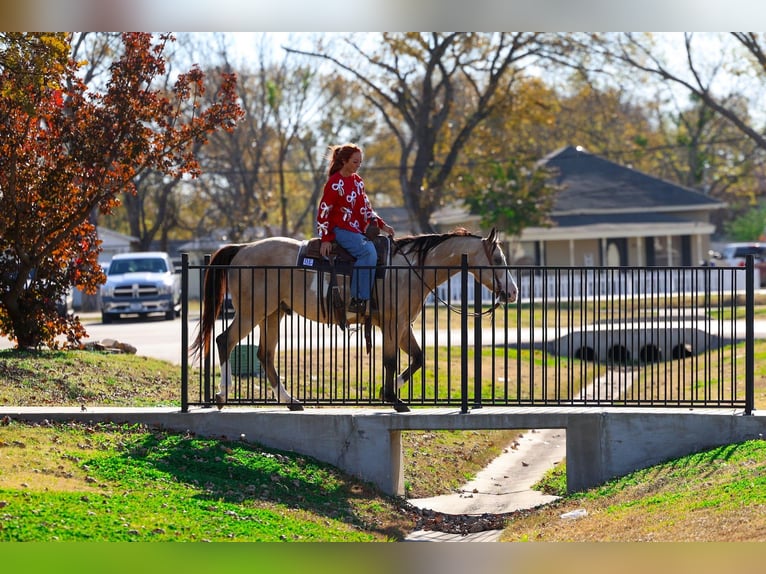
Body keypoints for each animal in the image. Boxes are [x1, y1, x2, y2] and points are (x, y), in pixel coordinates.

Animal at [190, 227, 518, 413]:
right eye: (498, 260)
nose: (513, 292)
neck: (408, 269)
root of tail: (242, 249)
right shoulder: (393, 324)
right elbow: (391, 361)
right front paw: (393, 398)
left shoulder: (402, 327)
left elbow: (417, 358)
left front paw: (390, 391)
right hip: (252, 311)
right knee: (224, 340)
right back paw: (222, 395)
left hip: (272, 314)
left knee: (265, 356)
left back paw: (291, 400)